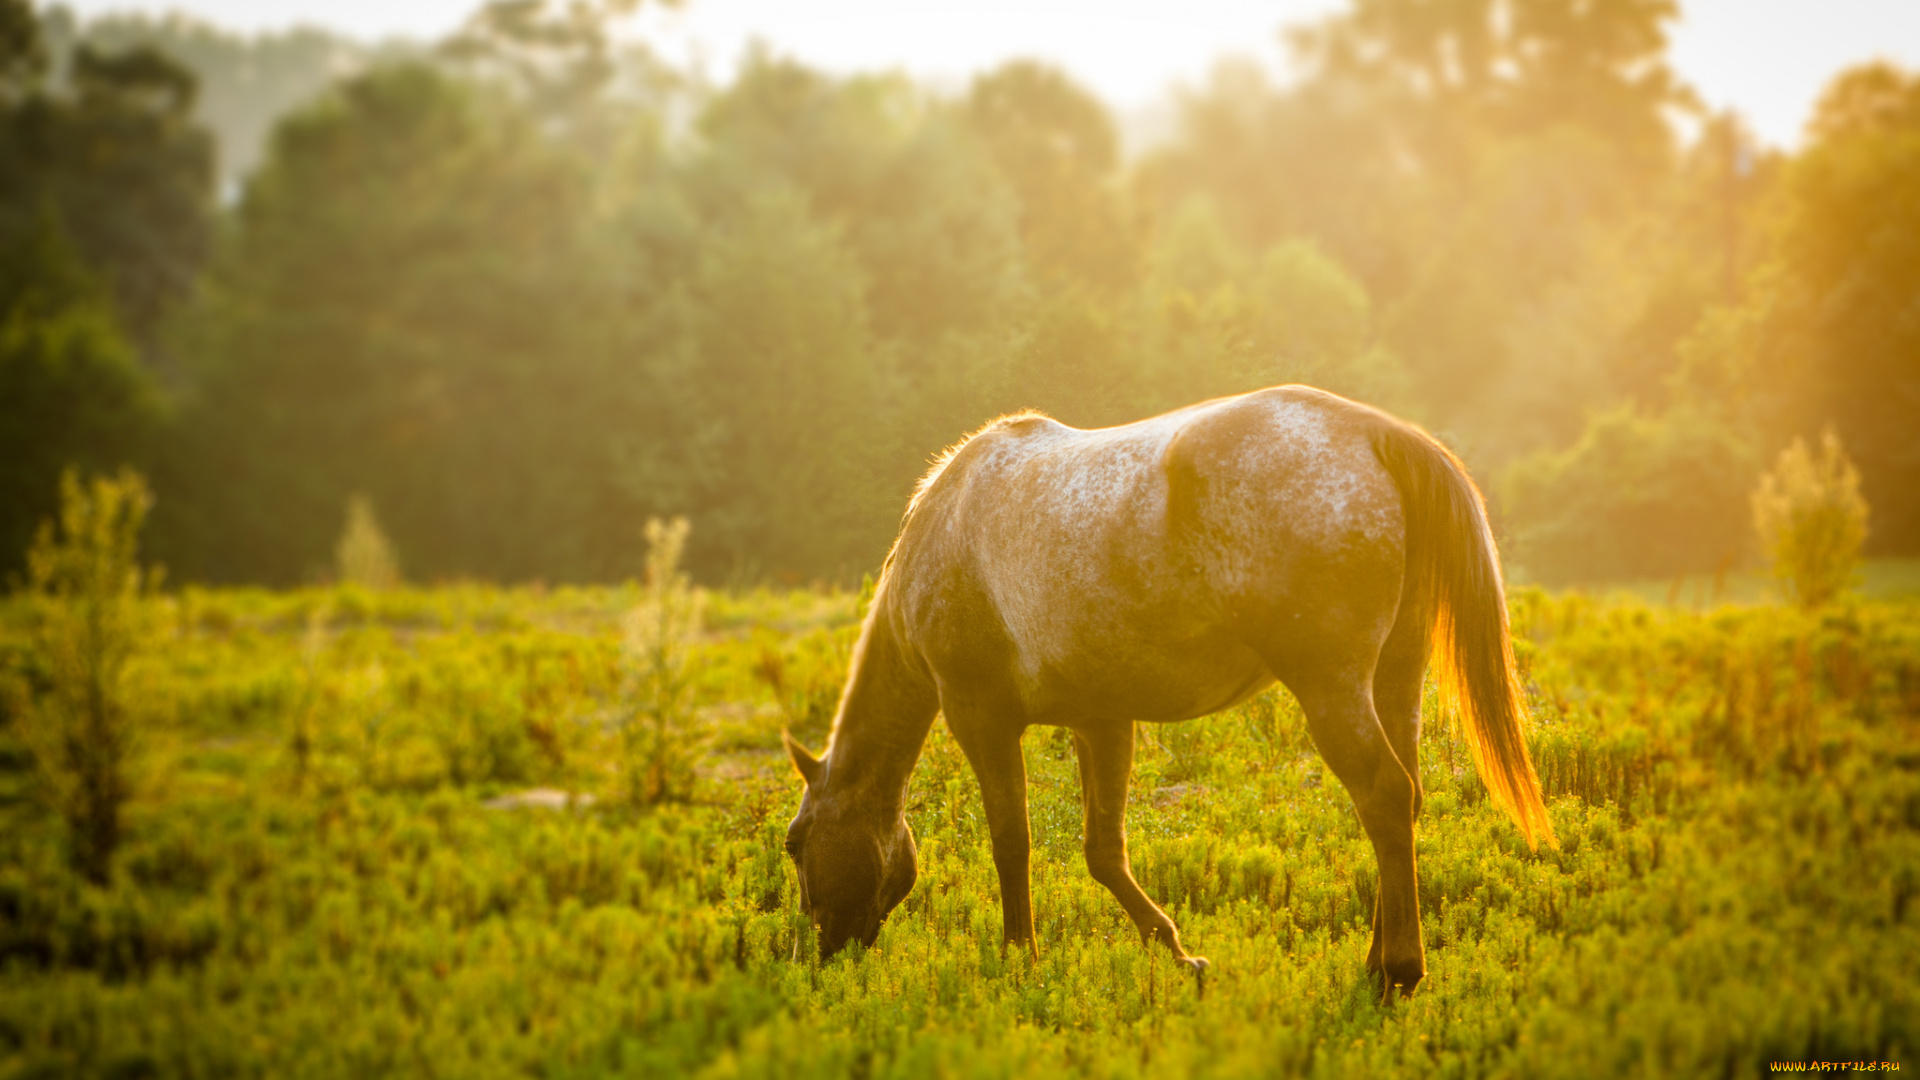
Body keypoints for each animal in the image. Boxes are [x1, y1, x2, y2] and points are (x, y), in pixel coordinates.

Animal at [787, 382, 1551, 999]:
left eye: (796, 843)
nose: (820, 954)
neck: (947, 528)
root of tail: (1375, 434)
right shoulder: (1101, 721)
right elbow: (1103, 850)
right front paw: (1179, 955)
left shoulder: (982, 718)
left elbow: (1012, 841)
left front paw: (1019, 957)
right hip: (1395, 679)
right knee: (1406, 800)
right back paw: (1375, 961)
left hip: (1332, 689)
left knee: (1384, 797)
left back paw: (1398, 972)